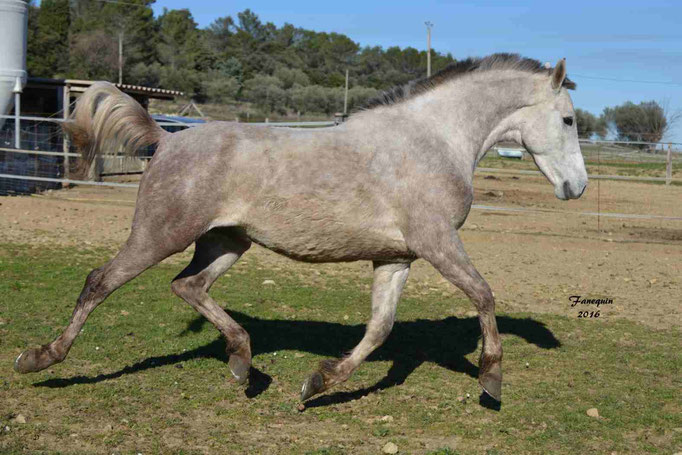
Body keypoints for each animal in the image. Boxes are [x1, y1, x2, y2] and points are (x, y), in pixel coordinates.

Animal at [13, 51, 584, 404]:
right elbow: (484, 295)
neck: (433, 139)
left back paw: (243, 363)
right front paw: (492, 379)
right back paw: (39, 357)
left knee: (187, 285)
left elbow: (379, 329)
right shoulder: (437, 241)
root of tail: (169, 139)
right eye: (570, 120)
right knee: (100, 282)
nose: (576, 186)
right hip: (159, 234)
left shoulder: (397, 257)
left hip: (227, 242)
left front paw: (318, 383)